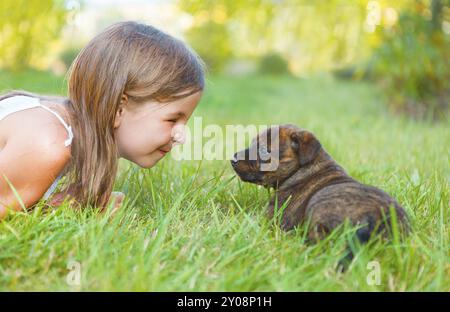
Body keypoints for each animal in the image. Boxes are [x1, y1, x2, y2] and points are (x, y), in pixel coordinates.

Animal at [230, 123, 410, 264]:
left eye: (263, 150)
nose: (232, 159)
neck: (303, 168)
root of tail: (377, 218)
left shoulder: (271, 217)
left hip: (318, 205)